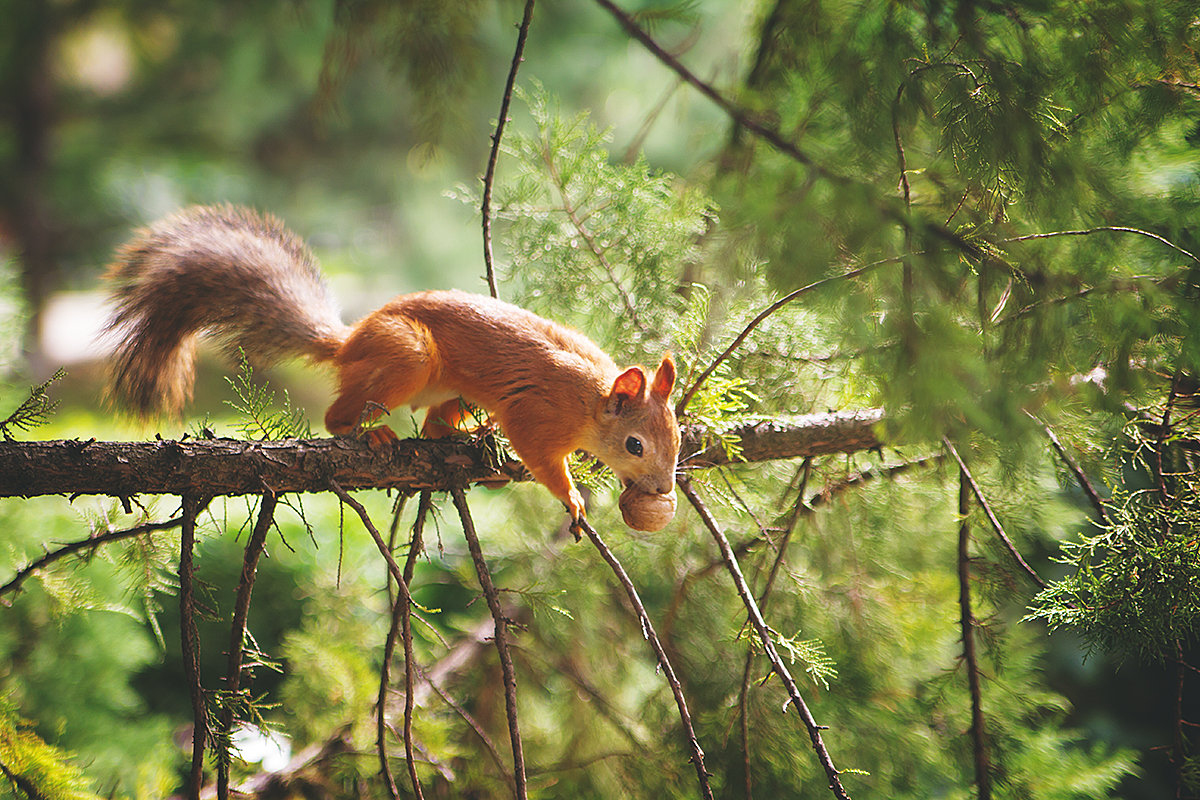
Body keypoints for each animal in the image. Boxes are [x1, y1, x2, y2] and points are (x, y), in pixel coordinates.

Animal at [103, 203, 681, 527]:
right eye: (635, 445)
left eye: (676, 439)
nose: (662, 490)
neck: (590, 398)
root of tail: (349, 342)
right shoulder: (538, 417)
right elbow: (540, 458)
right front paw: (573, 499)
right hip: (408, 355)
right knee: (338, 416)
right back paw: (372, 433)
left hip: (444, 387)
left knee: (435, 425)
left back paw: (469, 438)